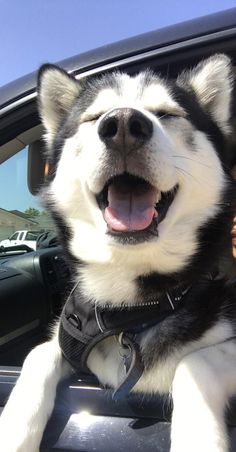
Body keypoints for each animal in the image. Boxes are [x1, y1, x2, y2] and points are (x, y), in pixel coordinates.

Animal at [0, 54, 236, 450]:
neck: (129, 309)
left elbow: (194, 365)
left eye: (166, 113)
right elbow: (38, 353)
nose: (123, 124)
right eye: (95, 117)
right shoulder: (66, 338)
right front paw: (13, 433)